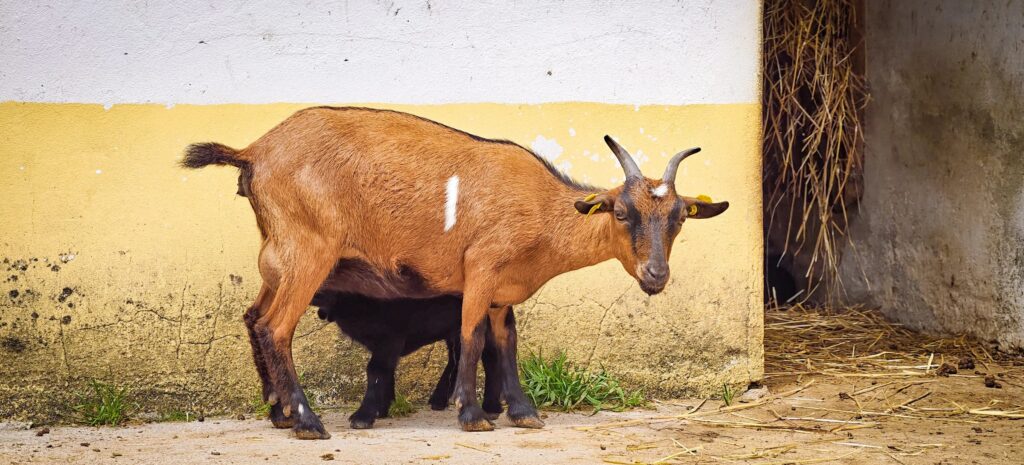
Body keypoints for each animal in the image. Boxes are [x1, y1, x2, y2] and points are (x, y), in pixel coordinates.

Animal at [311, 292, 508, 429]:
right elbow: (386, 371)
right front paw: (383, 408)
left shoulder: (391, 337)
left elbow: (376, 369)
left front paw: (363, 415)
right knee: (457, 358)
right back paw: (439, 399)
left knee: (489, 356)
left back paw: (491, 406)